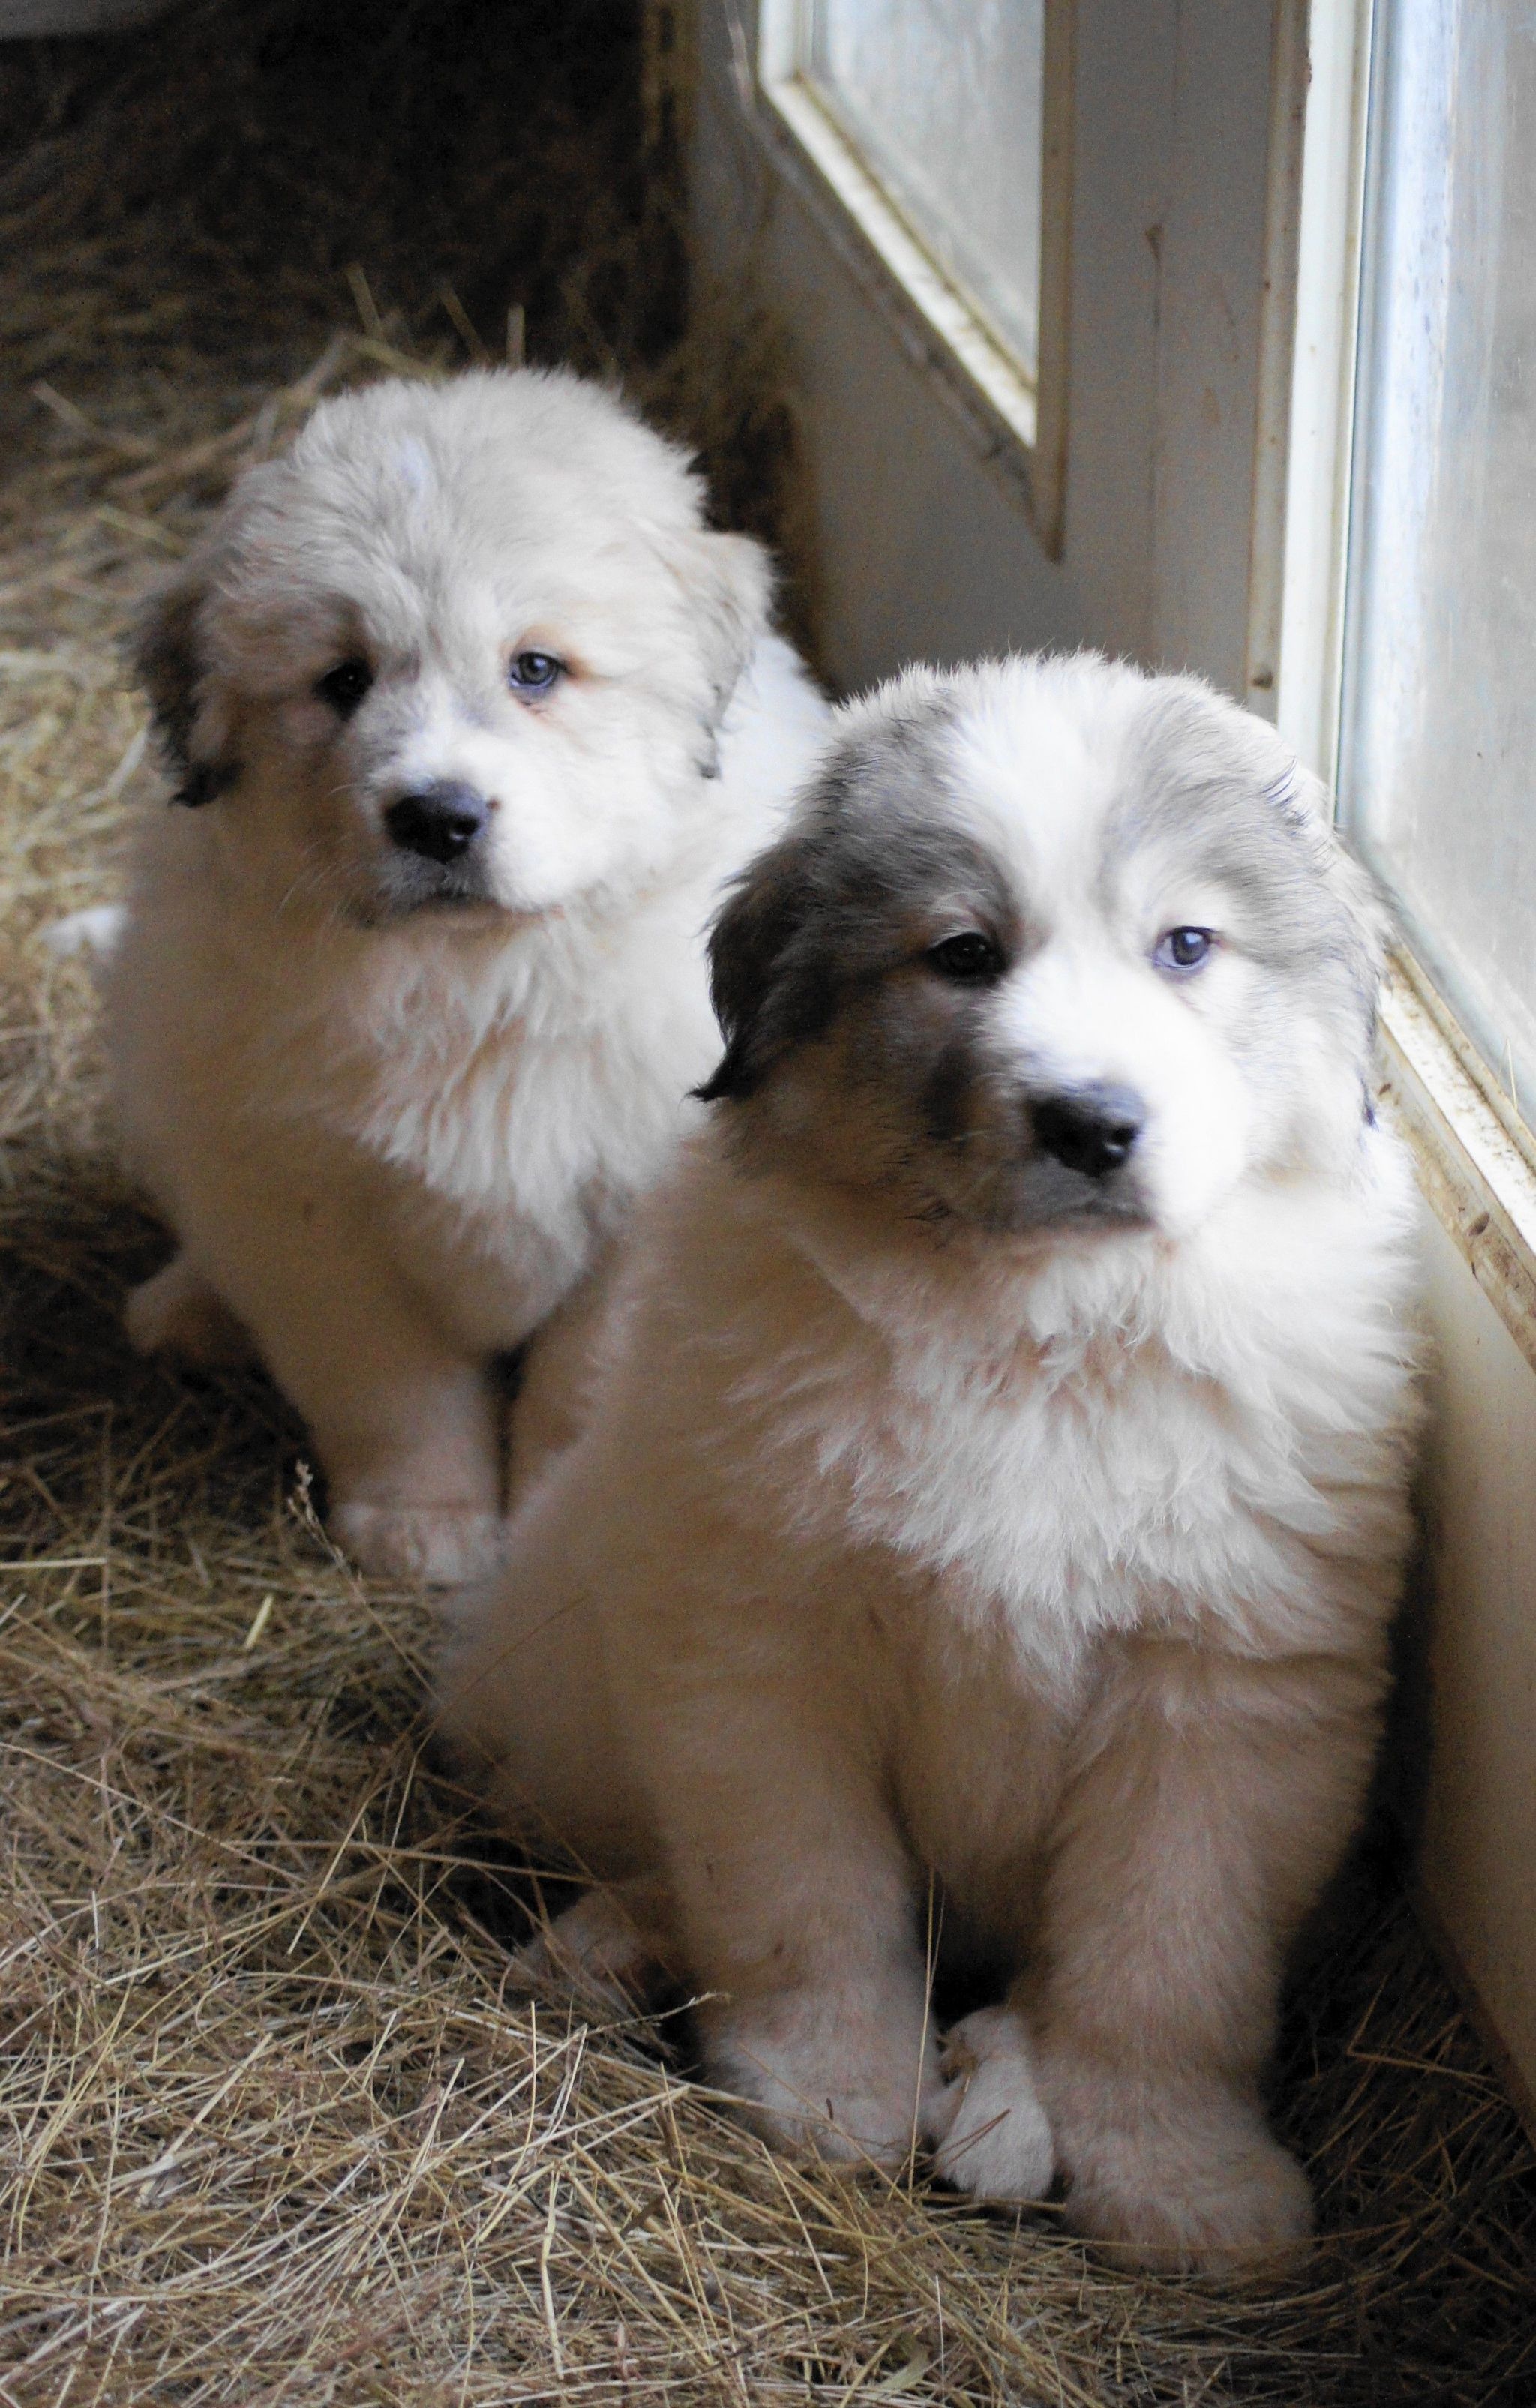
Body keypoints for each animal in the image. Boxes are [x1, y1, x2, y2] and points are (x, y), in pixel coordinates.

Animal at [105, 366, 828, 1589]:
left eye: (535, 668)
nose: (437, 817)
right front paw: (425, 1524)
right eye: (342, 681)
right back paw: (186, 1309)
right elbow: (392, 1388)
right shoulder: (312, 1214)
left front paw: (546, 1515)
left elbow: (581, 1386)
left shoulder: (636, 1221)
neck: (475, 976)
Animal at [438, 655, 1425, 2273]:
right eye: (962, 954)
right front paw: (829, 2093)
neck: (1035, 1326)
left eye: (1186, 946)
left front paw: (1181, 2178)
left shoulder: (1223, 1703)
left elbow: (1166, 1963)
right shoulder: (760, 1658)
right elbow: (806, 1898)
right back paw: (605, 1945)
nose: (1089, 1120)